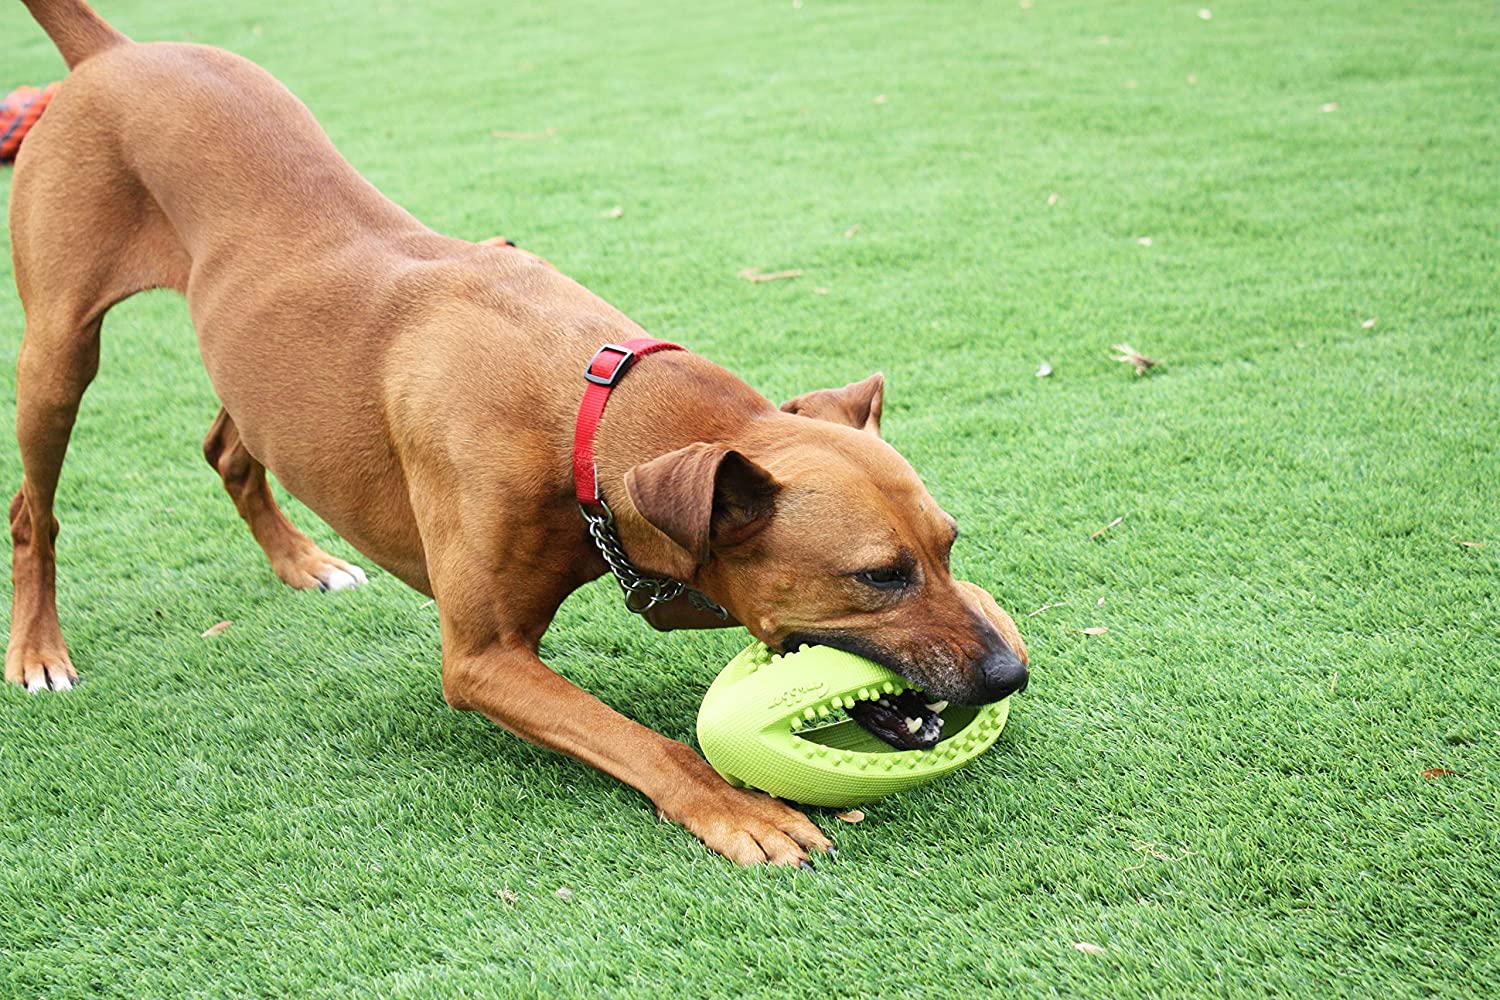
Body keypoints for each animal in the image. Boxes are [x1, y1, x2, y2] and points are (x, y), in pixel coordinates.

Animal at [2, 0, 1032, 863]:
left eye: (948, 547)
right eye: (878, 577)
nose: (1010, 670)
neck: (584, 406)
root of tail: (113, 52)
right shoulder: (484, 659)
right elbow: (642, 741)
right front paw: (735, 808)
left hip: (254, 369)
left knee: (227, 445)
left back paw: (302, 561)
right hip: (57, 353)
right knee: (33, 510)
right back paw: (39, 652)